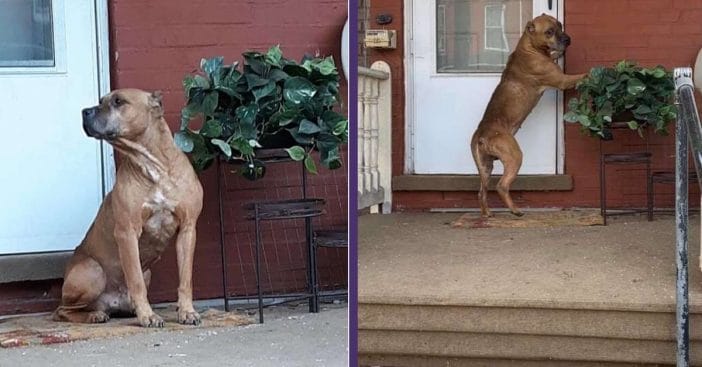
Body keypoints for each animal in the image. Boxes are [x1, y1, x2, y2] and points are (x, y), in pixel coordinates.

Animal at [472, 14, 588, 217]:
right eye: (549, 32)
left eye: (560, 26)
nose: (567, 39)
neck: (530, 47)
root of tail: (482, 134)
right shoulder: (563, 80)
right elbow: (581, 75)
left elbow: (554, 56)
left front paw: (557, 54)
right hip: (514, 157)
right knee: (502, 185)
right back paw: (515, 211)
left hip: (485, 167)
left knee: (482, 191)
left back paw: (487, 214)